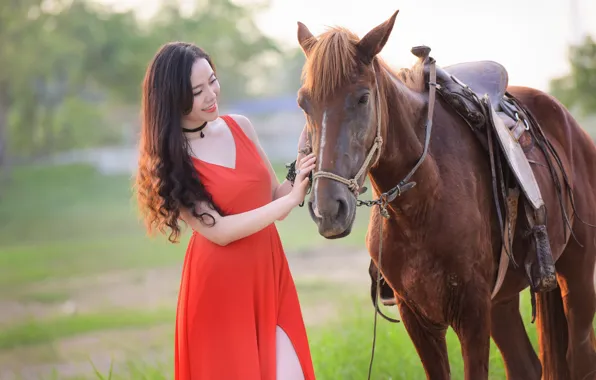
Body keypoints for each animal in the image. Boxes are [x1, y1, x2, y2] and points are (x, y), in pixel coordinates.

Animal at [294, 9, 596, 380]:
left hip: (576, 278)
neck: (422, 202)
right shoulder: (418, 318)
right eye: (304, 103)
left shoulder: (472, 316)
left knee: (580, 357)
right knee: (525, 365)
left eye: (363, 97)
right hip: (503, 301)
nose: (328, 210)